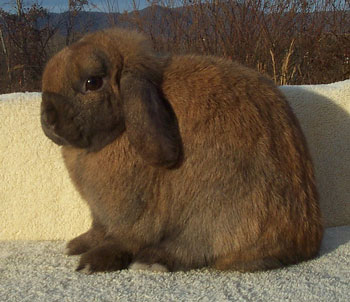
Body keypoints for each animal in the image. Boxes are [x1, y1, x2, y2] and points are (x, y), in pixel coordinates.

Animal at [40, 28, 322, 274]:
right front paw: (75, 245)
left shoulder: (131, 216)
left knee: (198, 247)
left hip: (215, 208)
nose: (47, 119)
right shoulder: (99, 216)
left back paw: (151, 261)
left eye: (93, 82)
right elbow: (97, 230)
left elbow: (124, 239)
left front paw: (92, 261)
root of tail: (304, 242)